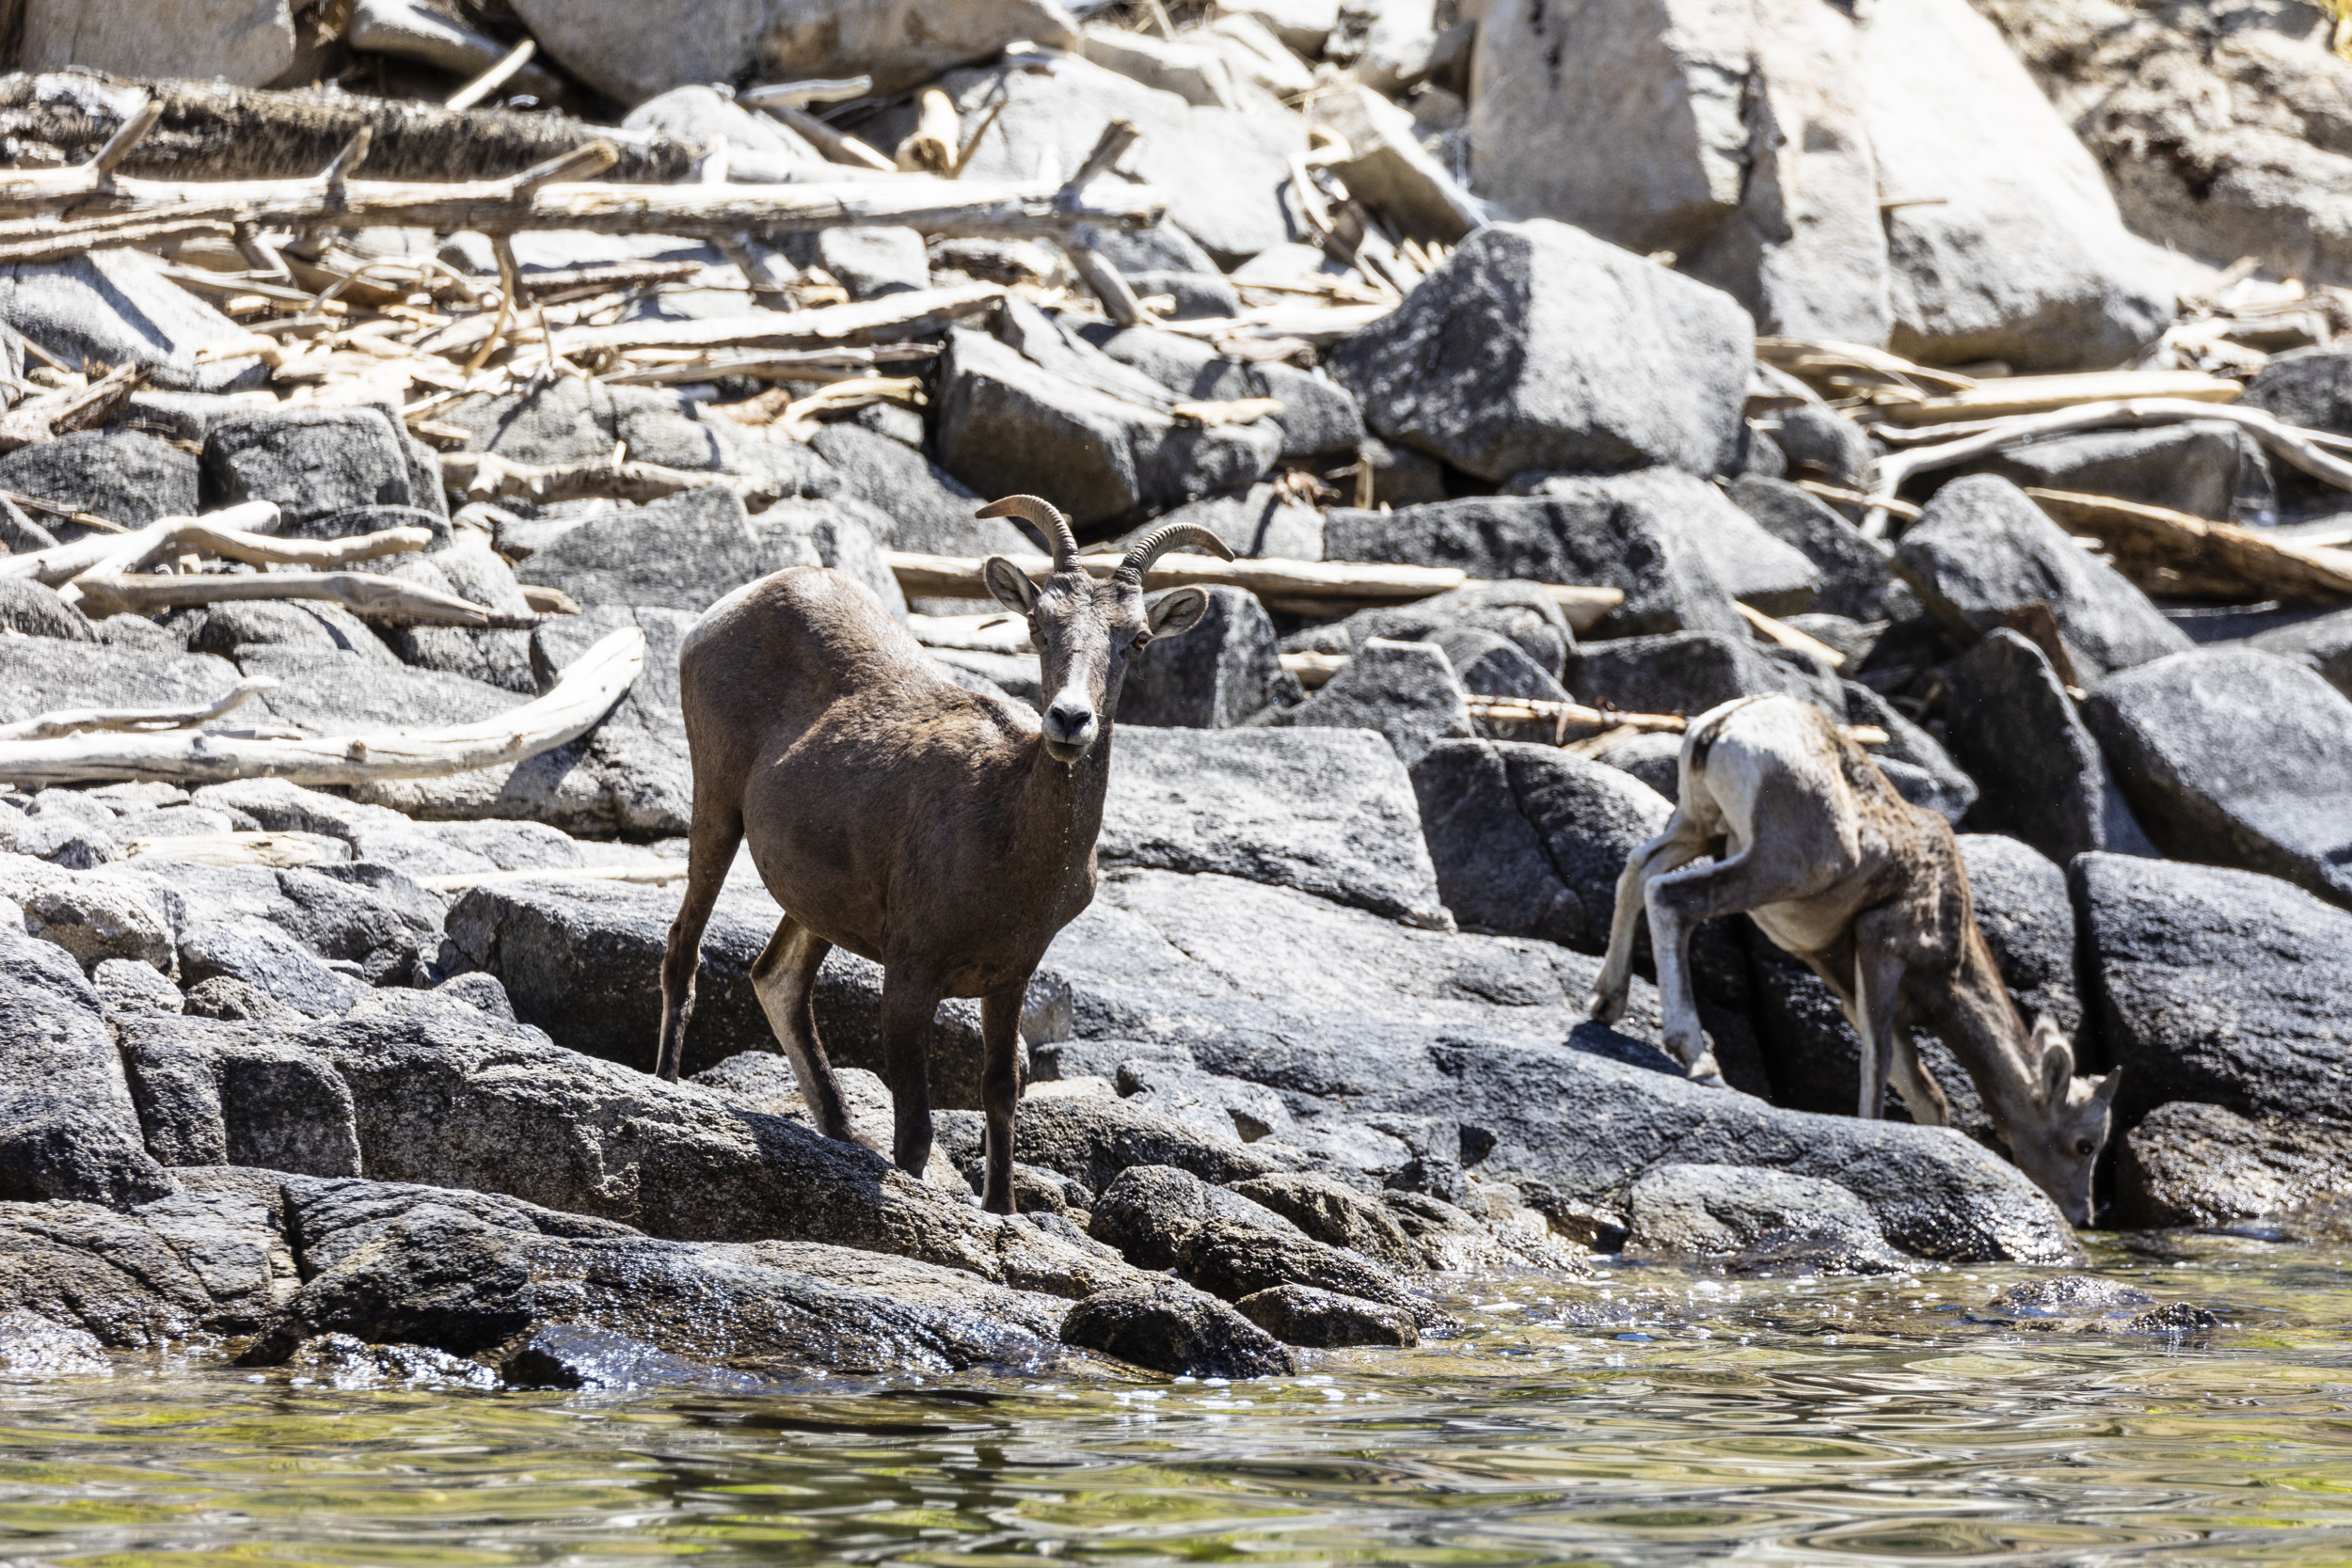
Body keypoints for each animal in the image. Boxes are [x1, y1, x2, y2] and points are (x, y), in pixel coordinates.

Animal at [655, 494, 1231, 1214]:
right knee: (684, 948)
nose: (1070, 720)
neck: (1009, 839)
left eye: (1140, 638)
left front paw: (1002, 1210)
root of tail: (730, 609)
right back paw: (669, 1087)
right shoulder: (911, 974)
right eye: (1039, 625)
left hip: (816, 907)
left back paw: (842, 1132)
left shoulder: (1010, 977)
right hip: (718, 806)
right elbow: (916, 1133)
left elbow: (1001, 1092)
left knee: (776, 978)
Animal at [1590, 694, 2121, 1225]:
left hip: (1697, 827)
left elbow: (1925, 1095)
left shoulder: (1853, 992)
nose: (2083, 1217)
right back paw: (1699, 1060)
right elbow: (1879, 1060)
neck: (1950, 954)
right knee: (1671, 897)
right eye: (2085, 1145)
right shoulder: (1881, 948)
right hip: (1783, 865)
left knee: (1639, 867)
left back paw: (1606, 1005)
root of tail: (1722, 726)